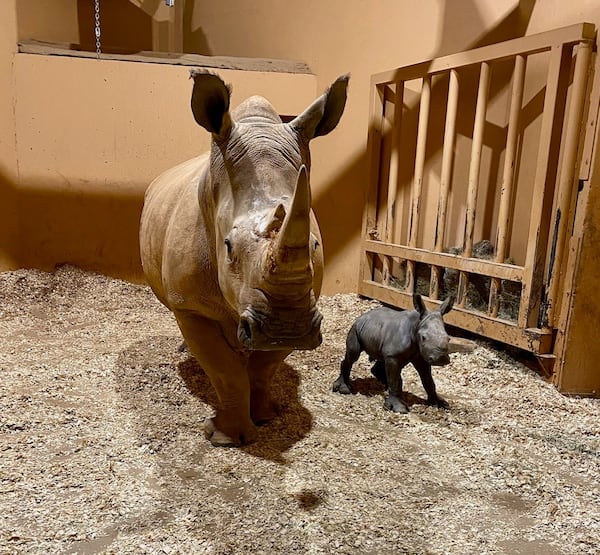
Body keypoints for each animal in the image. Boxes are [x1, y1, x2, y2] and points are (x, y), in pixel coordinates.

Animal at [332, 296, 464, 412]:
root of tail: (362, 316)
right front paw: (399, 408)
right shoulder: (393, 356)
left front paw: (439, 403)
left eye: (449, 338)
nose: (441, 359)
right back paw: (344, 389)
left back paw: (386, 389)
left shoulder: (420, 355)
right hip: (355, 329)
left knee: (382, 361)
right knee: (353, 355)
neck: (416, 325)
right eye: (423, 338)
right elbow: (395, 380)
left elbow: (428, 380)